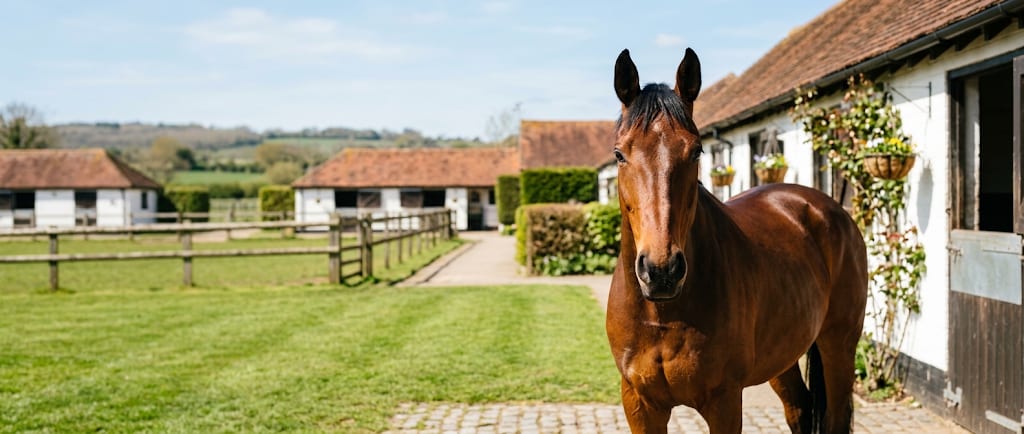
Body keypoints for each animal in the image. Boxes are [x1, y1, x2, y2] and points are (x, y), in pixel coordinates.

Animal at [605, 48, 868, 434]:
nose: (661, 271)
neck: (662, 314)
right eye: (620, 154)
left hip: (839, 345)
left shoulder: (724, 402)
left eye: (696, 151)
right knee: (800, 408)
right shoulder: (639, 404)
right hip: (784, 353)